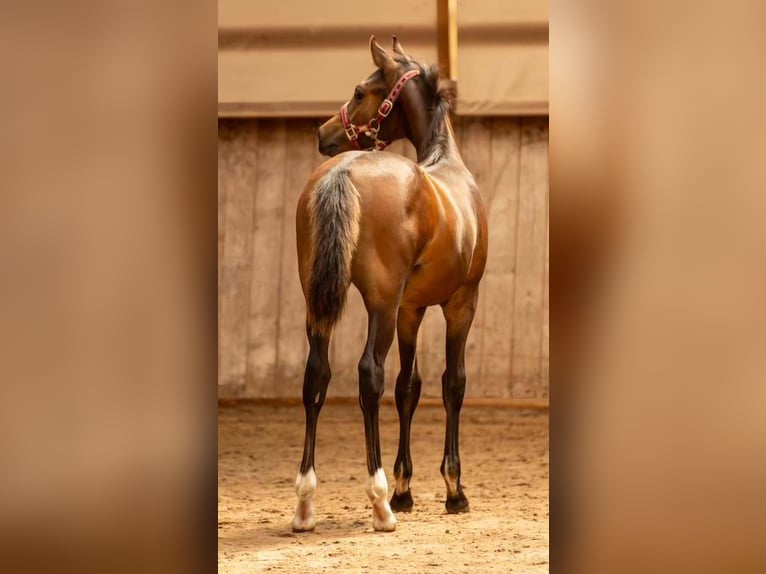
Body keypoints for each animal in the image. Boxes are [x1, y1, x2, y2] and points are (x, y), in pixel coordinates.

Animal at [292, 36, 488, 532]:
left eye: (360, 91)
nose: (323, 133)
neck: (444, 163)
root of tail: (343, 170)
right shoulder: (461, 302)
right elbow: (452, 383)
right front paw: (452, 490)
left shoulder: (410, 309)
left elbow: (409, 388)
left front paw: (406, 489)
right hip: (379, 304)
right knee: (369, 375)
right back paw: (379, 503)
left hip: (317, 305)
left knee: (316, 374)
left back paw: (305, 504)